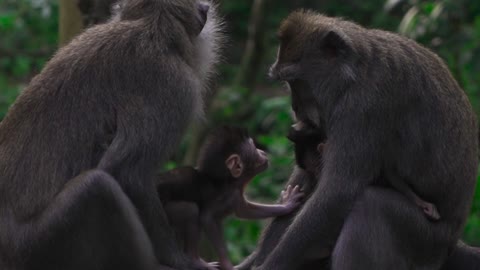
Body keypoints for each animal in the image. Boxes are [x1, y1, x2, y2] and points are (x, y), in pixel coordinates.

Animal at [0, 0, 222, 270]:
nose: (206, 7)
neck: (151, 28)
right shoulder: (176, 88)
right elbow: (126, 172)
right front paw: (180, 260)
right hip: (35, 247)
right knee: (97, 188)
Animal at [156, 126, 302, 270]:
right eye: (254, 148)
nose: (263, 152)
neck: (229, 181)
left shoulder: (236, 196)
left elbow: (245, 211)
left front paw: (286, 204)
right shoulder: (226, 195)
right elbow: (207, 218)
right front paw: (227, 265)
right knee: (190, 209)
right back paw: (195, 261)